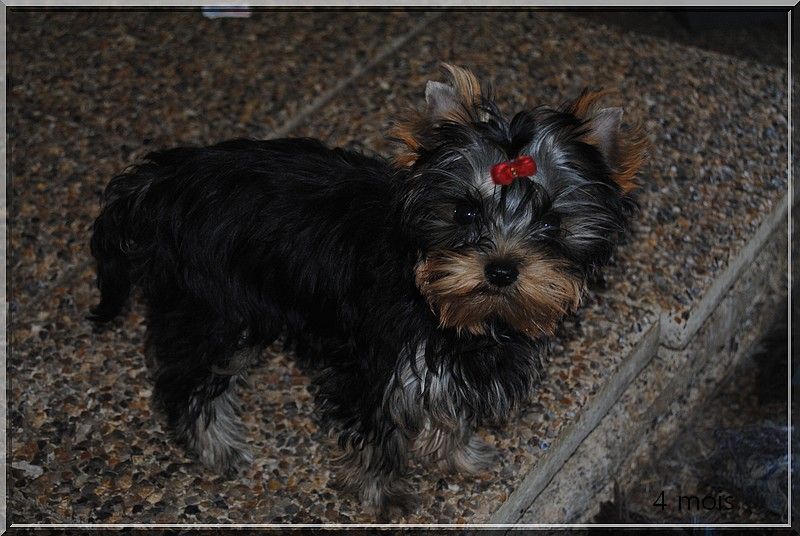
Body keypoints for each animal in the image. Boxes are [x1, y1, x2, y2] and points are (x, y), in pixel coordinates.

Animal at [90, 63, 648, 520]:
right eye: (465, 211)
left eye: (552, 223)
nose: (501, 270)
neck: (440, 303)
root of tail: (162, 180)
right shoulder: (368, 364)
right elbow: (375, 432)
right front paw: (384, 493)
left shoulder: (456, 361)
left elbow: (450, 408)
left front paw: (458, 456)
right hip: (214, 309)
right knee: (187, 379)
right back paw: (216, 448)